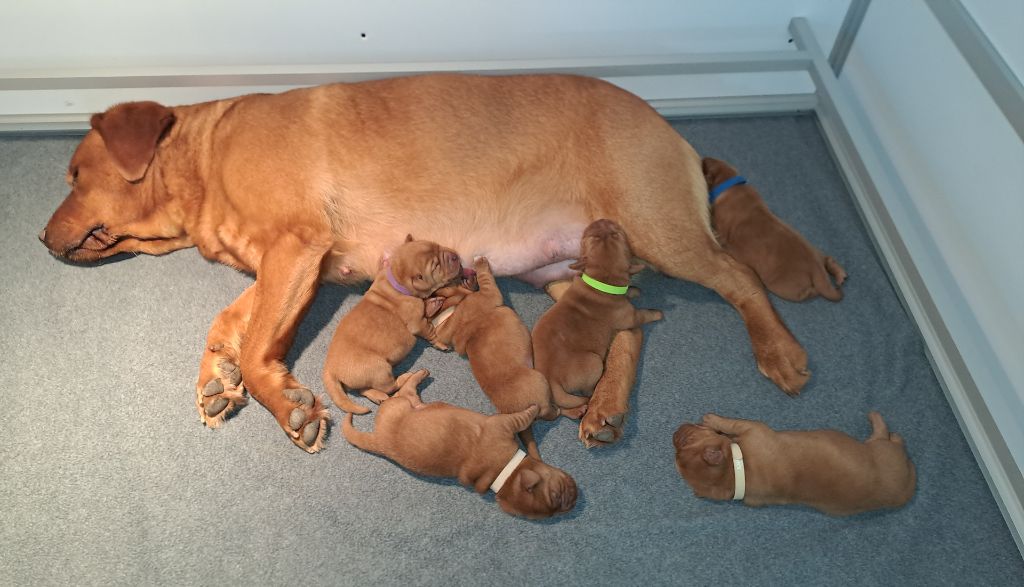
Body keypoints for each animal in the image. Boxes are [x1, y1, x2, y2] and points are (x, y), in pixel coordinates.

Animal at [323, 233, 460, 411]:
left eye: (437, 245)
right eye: (436, 265)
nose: (456, 256)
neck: (396, 281)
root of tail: (330, 369)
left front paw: (433, 303)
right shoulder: (417, 323)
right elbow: (430, 330)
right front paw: (440, 343)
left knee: (363, 389)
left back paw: (377, 397)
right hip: (380, 369)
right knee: (390, 386)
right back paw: (405, 377)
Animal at [342, 368, 577, 520]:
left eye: (554, 513)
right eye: (556, 494)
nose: (573, 501)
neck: (504, 471)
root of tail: (379, 440)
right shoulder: (503, 424)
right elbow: (524, 416)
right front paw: (535, 408)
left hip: (412, 405)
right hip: (402, 405)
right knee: (405, 391)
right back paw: (419, 374)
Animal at [428, 256, 585, 456]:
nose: (462, 265)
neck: (447, 312)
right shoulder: (488, 294)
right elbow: (486, 279)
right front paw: (480, 263)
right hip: (540, 381)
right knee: (553, 411)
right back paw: (576, 408)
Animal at [704, 155, 847, 301]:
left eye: (705, 166)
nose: (704, 157)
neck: (731, 184)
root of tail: (816, 269)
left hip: (782, 286)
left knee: (807, 293)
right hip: (816, 251)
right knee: (827, 259)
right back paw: (840, 274)